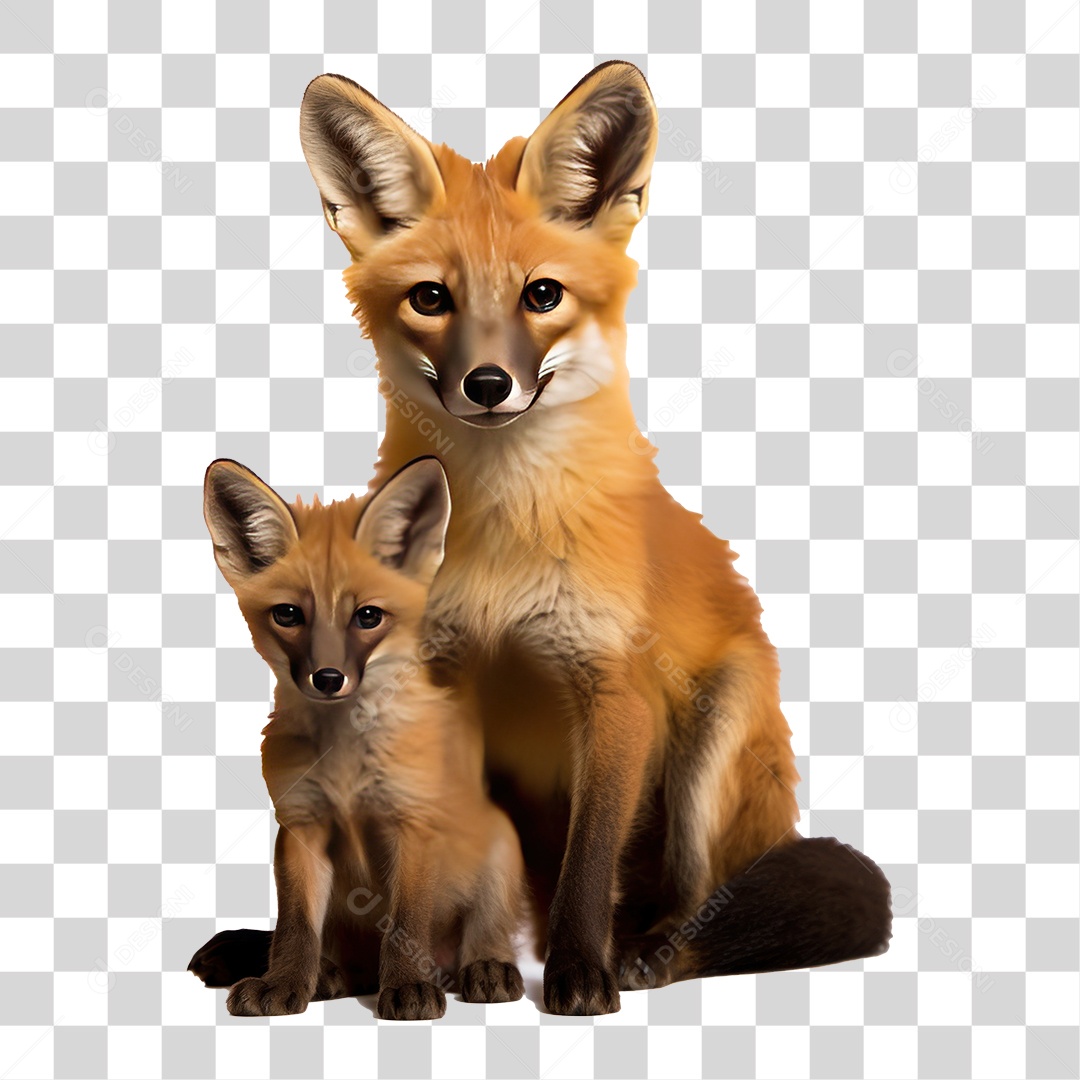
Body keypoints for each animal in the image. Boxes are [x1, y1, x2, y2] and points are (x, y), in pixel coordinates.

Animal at [189, 456, 526, 1020]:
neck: (345, 762)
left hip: (501, 843)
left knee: (485, 932)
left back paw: (484, 967)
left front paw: (409, 987)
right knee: (328, 952)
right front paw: (284, 984)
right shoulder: (300, 826)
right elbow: (295, 927)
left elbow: (406, 922)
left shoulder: (413, 823)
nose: (327, 678)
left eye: (368, 616)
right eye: (288, 614)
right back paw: (327, 977)